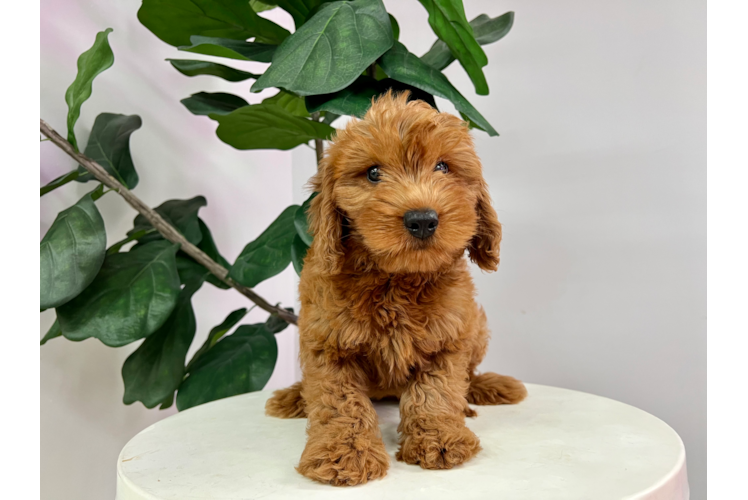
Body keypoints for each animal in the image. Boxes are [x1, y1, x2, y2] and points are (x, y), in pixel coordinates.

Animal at [268, 91, 524, 484]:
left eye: (443, 167)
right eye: (373, 173)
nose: (422, 220)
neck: (395, 278)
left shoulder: (449, 336)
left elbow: (436, 390)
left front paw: (440, 438)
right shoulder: (326, 342)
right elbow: (338, 400)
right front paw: (345, 453)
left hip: (477, 327)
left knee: (468, 375)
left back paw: (477, 394)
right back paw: (295, 397)